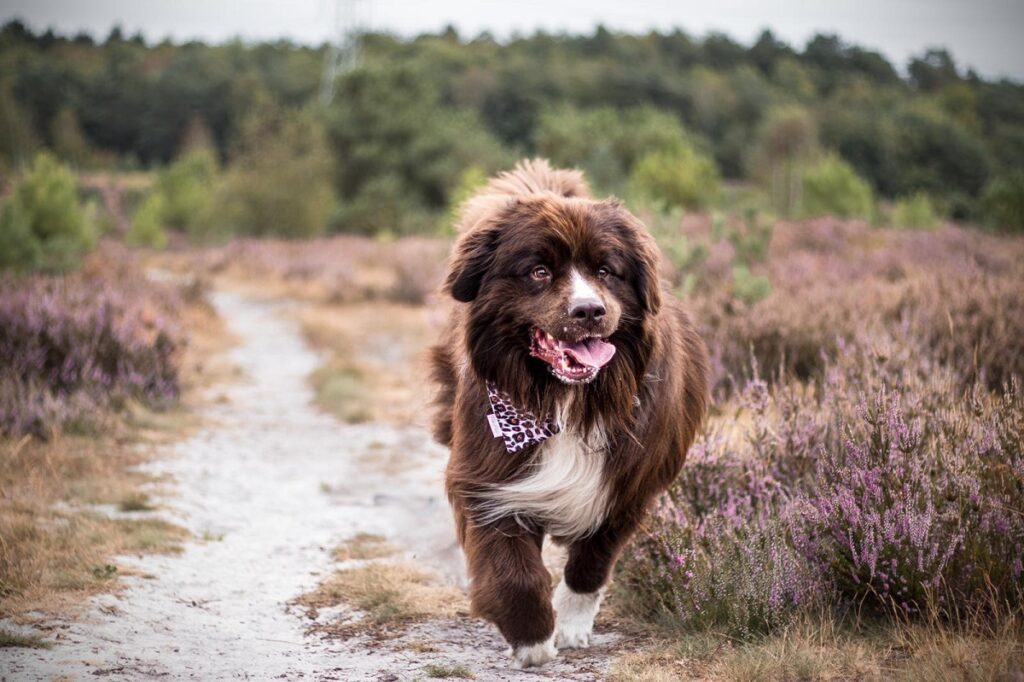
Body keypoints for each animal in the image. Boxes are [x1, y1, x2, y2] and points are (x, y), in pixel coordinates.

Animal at [428, 157, 708, 663]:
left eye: (606, 270)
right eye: (539, 271)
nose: (589, 310)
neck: (565, 399)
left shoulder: (628, 487)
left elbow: (592, 560)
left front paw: (572, 623)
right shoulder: (487, 476)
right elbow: (511, 565)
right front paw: (533, 637)